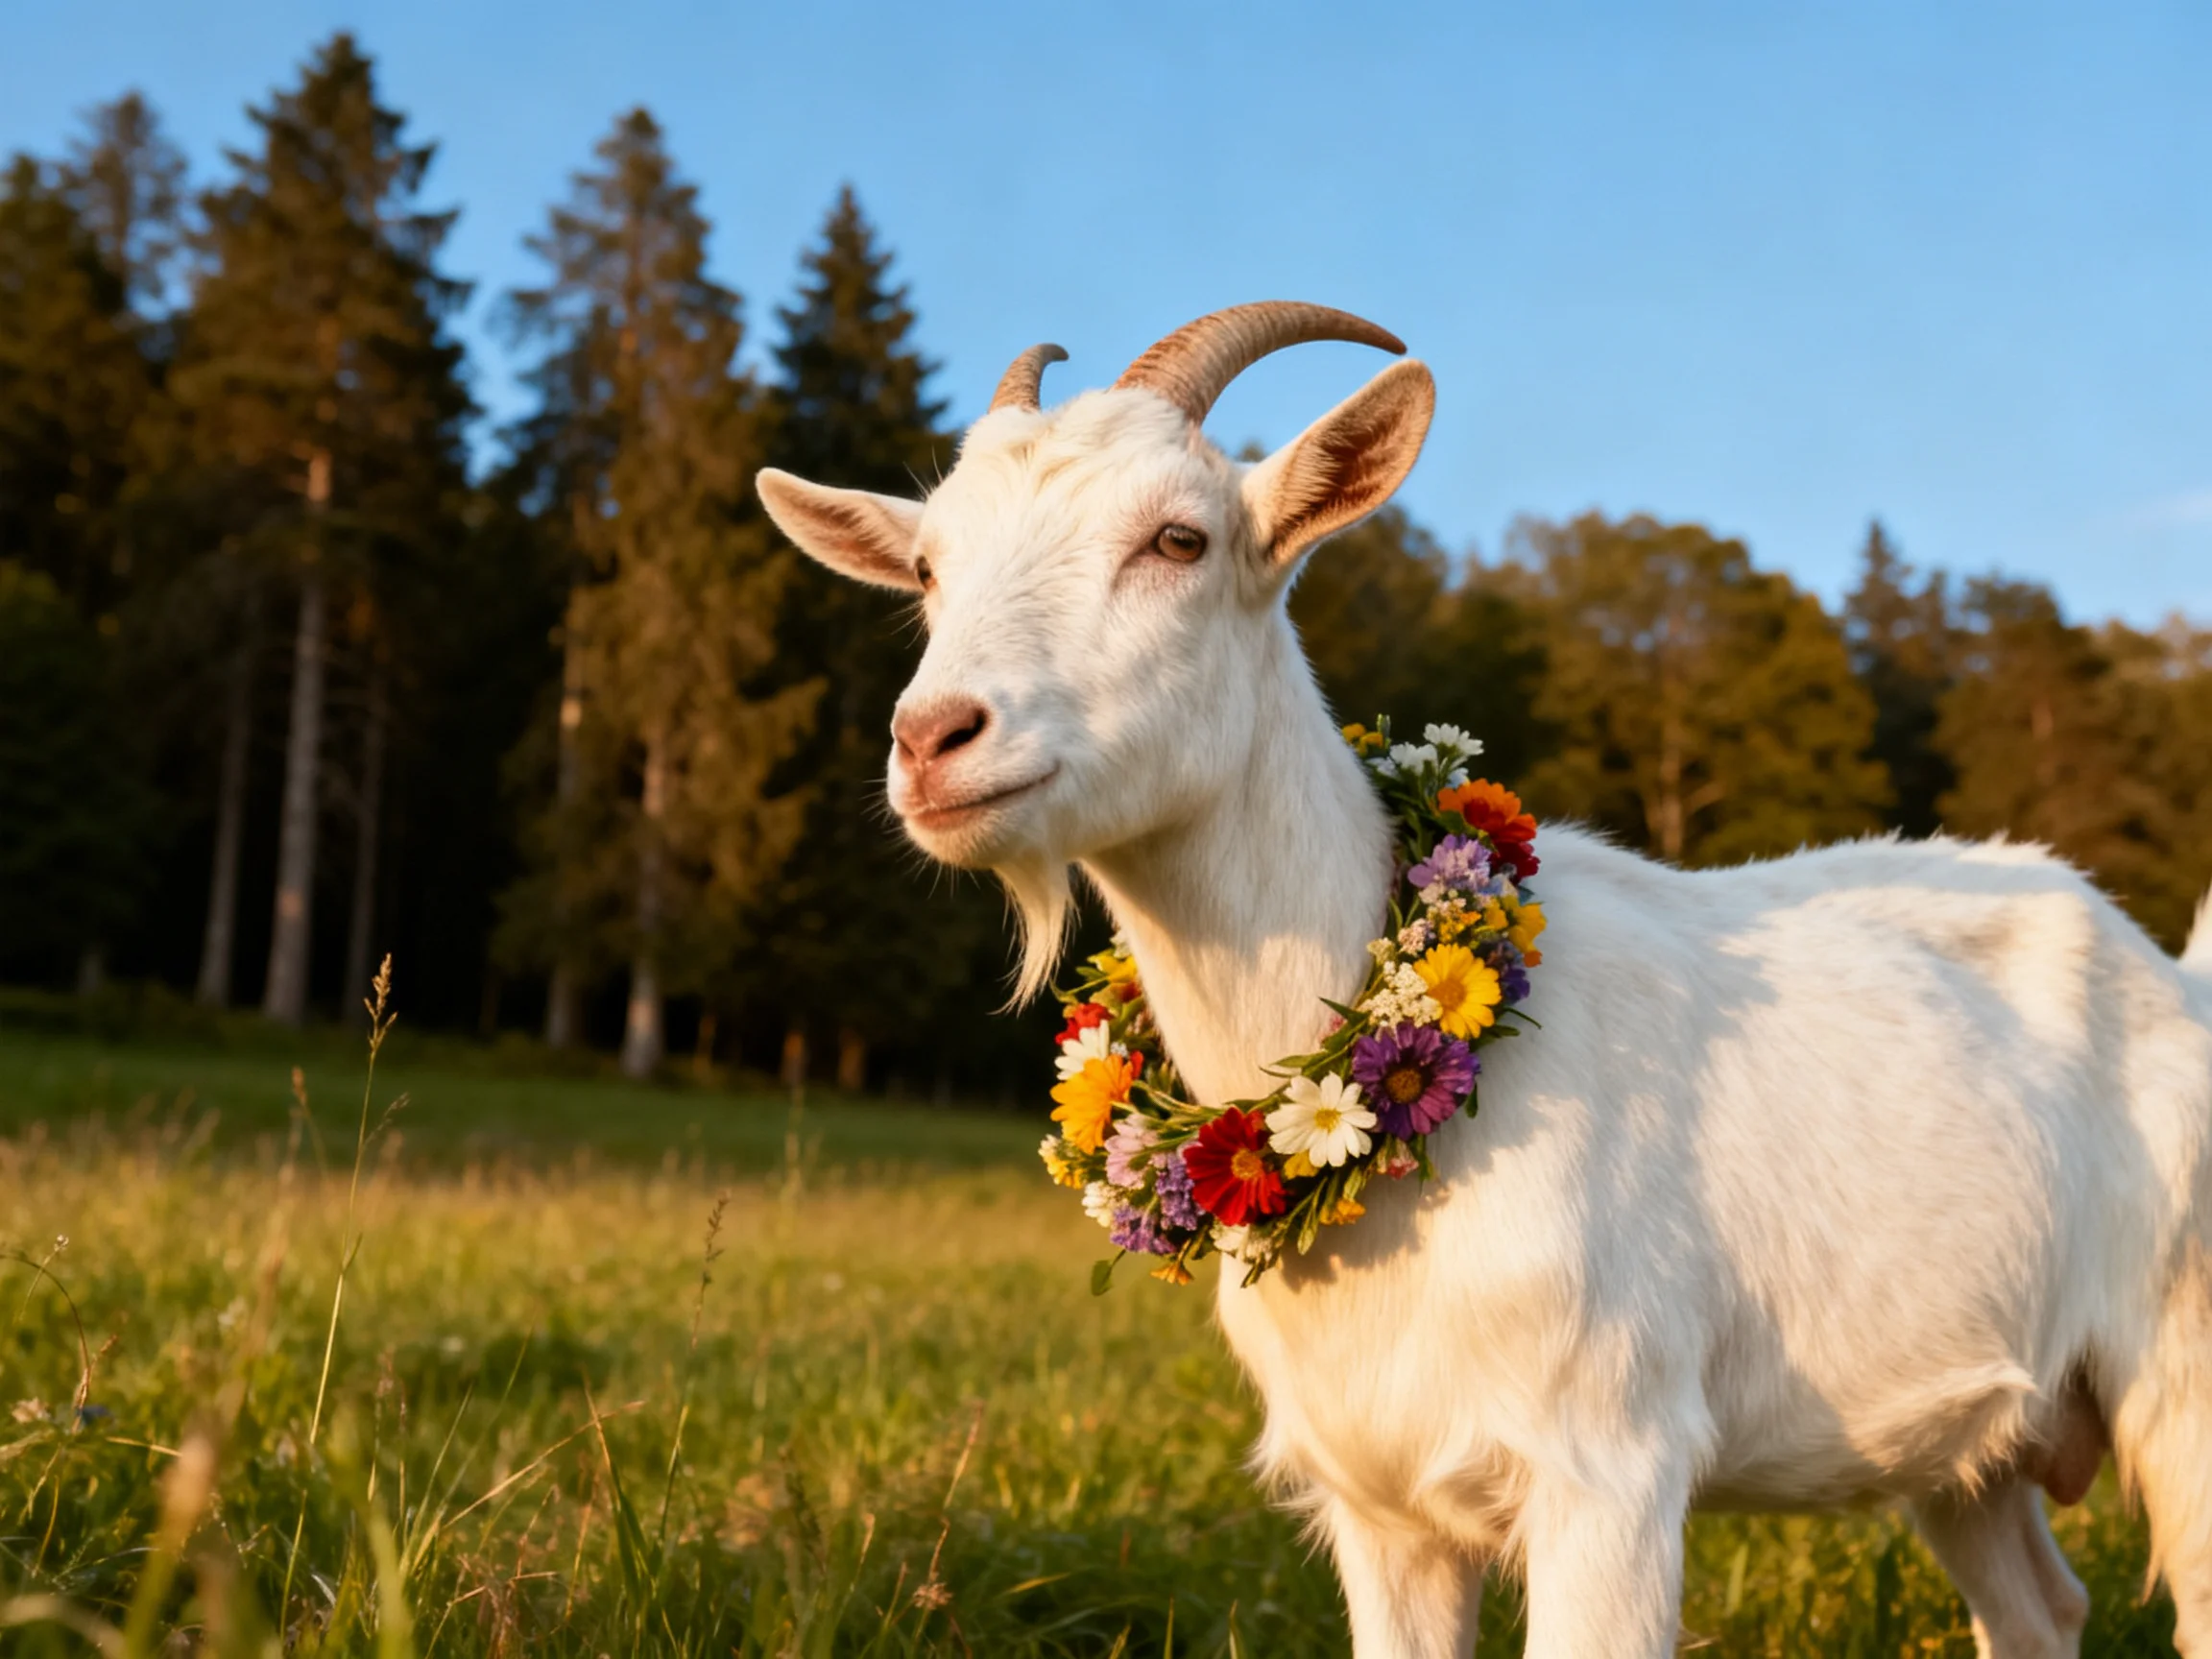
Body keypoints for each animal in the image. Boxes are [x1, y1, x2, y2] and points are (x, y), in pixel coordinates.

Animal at [758, 302, 2212, 1659]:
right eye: (929, 568)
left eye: (1179, 540)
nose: (933, 741)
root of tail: (2168, 971)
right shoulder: (1379, 1504)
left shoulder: (1610, 1473)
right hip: (1973, 1440)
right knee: (2039, 1606)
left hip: (2183, 1362)